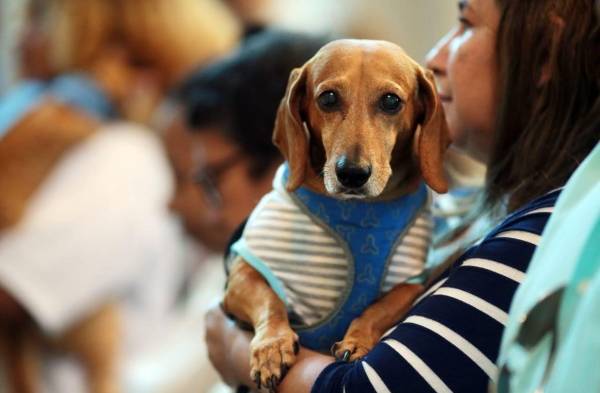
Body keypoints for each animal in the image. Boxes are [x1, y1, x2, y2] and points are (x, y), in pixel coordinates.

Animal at [223, 39, 448, 388]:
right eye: (328, 98)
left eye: (391, 101)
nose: (352, 174)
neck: (359, 210)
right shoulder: (240, 276)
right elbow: (270, 301)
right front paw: (273, 344)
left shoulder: (410, 283)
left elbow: (377, 309)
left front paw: (357, 340)